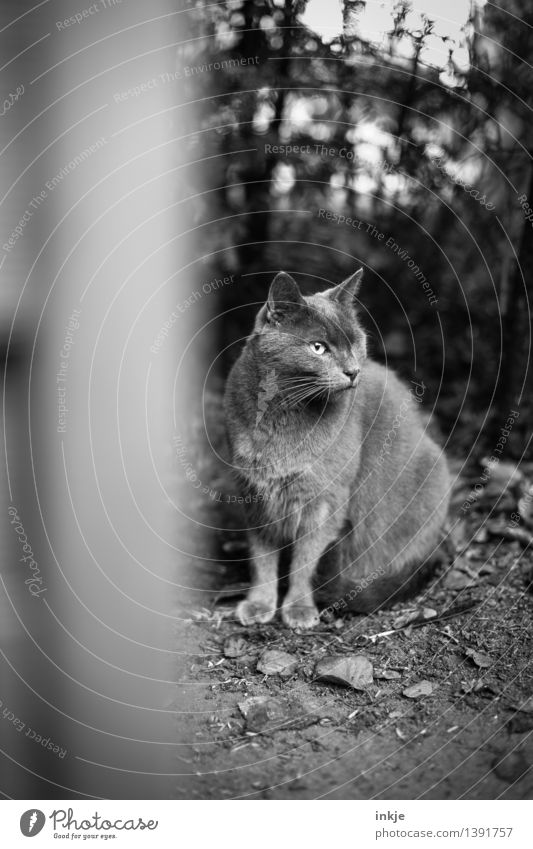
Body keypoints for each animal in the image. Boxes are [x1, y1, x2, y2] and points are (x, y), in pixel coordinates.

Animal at [221, 268, 448, 628]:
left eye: (355, 342)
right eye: (318, 347)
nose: (353, 371)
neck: (281, 414)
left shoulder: (326, 498)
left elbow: (305, 559)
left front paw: (298, 608)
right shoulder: (256, 494)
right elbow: (262, 557)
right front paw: (259, 604)